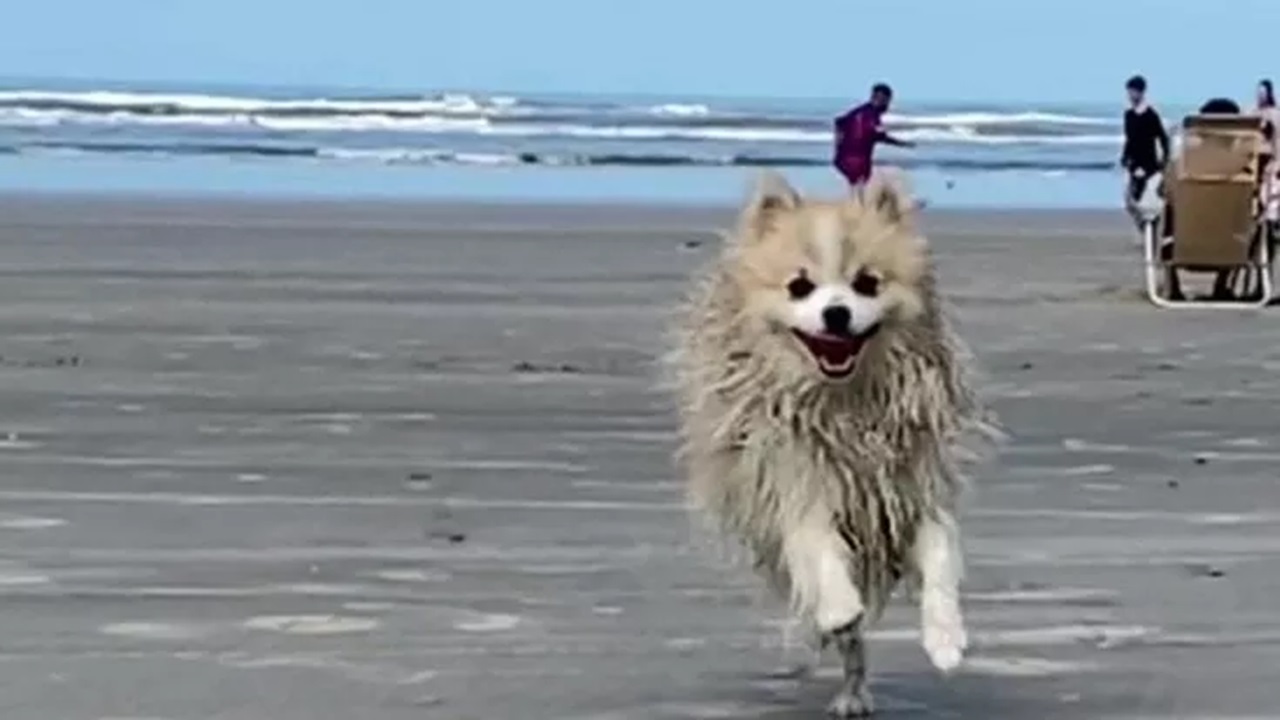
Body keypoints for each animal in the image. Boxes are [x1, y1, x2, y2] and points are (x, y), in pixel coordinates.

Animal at [670, 169, 998, 712]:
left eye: (866, 283)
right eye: (800, 287)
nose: (837, 313)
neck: (846, 404)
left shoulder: (913, 491)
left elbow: (939, 557)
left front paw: (946, 638)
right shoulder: (797, 485)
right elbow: (822, 556)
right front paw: (841, 607)